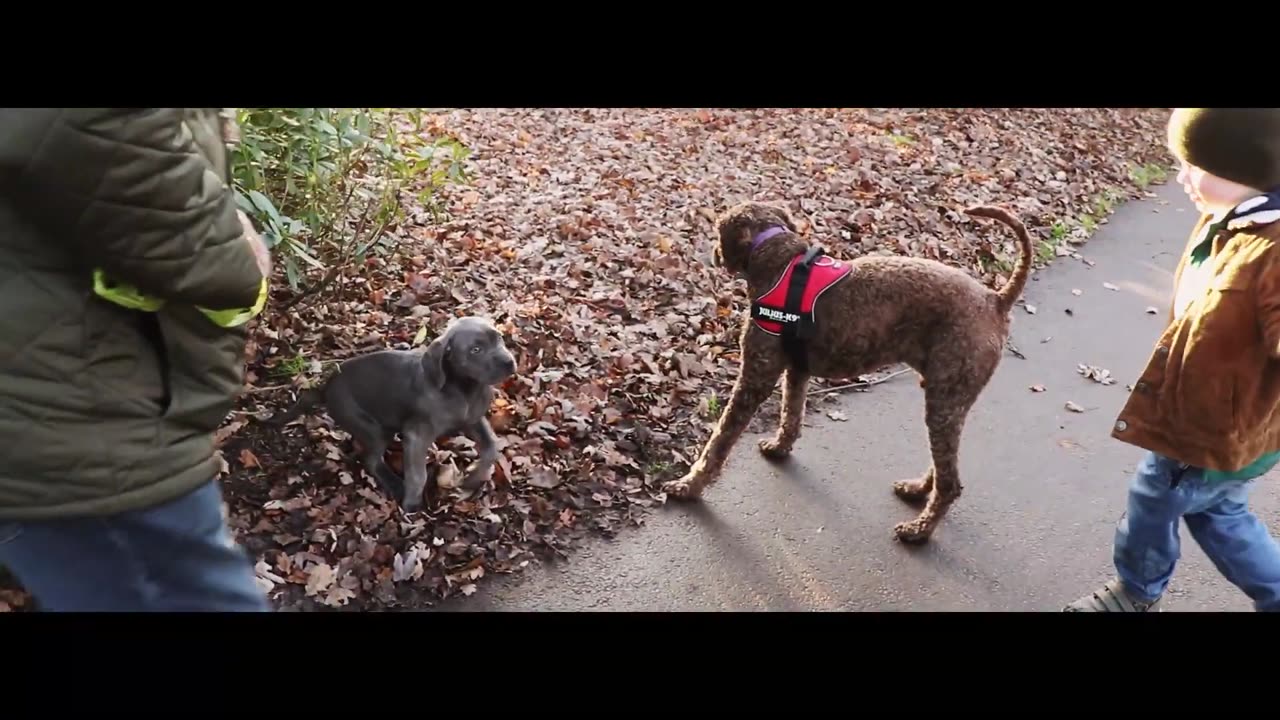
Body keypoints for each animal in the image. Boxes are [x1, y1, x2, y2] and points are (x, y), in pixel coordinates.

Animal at [267, 315, 517, 509]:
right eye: (476, 350)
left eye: (500, 339)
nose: (510, 362)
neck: (465, 390)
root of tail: (325, 388)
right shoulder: (417, 434)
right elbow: (418, 474)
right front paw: (411, 504)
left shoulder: (474, 419)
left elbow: (492, 447)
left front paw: (473, 480)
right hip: (371, 427)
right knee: (371, 460)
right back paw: (394, 483)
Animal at [665, 198, 1034, 540]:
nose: (712, 253)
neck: (778, 257)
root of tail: (996, 300)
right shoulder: (797, 369)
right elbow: (791, 415)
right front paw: (780, 447)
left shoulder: (755, 376)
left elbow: (719, 441)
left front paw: (688, 486)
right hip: (949, 399)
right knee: (943, 466)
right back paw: (917, 489)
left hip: (945, 398)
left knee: (951, 483)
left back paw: (919, 531)